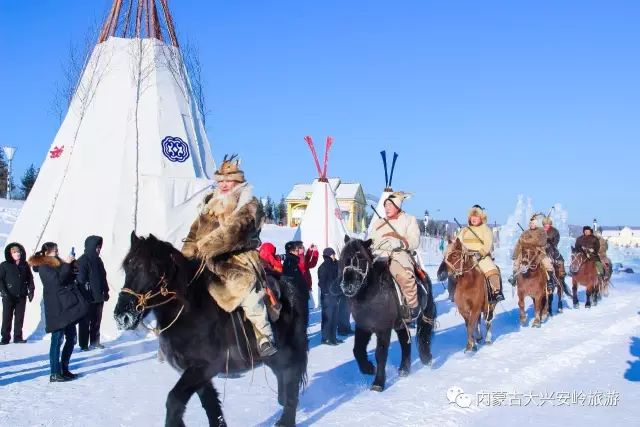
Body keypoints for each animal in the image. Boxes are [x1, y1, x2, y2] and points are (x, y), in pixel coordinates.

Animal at [114, 234, 308, 427]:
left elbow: (174, 400)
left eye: (152, 270)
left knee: (291, 382)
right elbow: (210, 404)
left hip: (287, 355)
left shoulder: (203, 367)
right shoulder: (197, 373)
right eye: (127, 268)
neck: (190, 311)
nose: (122, 316)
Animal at [340, 237, 436, 392]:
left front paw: (378, 383)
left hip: (423, 317)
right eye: (344, 258)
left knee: (423, 337)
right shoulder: (363, 327)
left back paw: (426, 359)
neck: (373, 293)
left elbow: (381, 354)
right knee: (405, 342)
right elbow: (357, 350)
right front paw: (368, 368)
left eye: (361, 258)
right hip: (400, 324)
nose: (348, 286)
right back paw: (404, 369)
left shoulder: (383, 329)